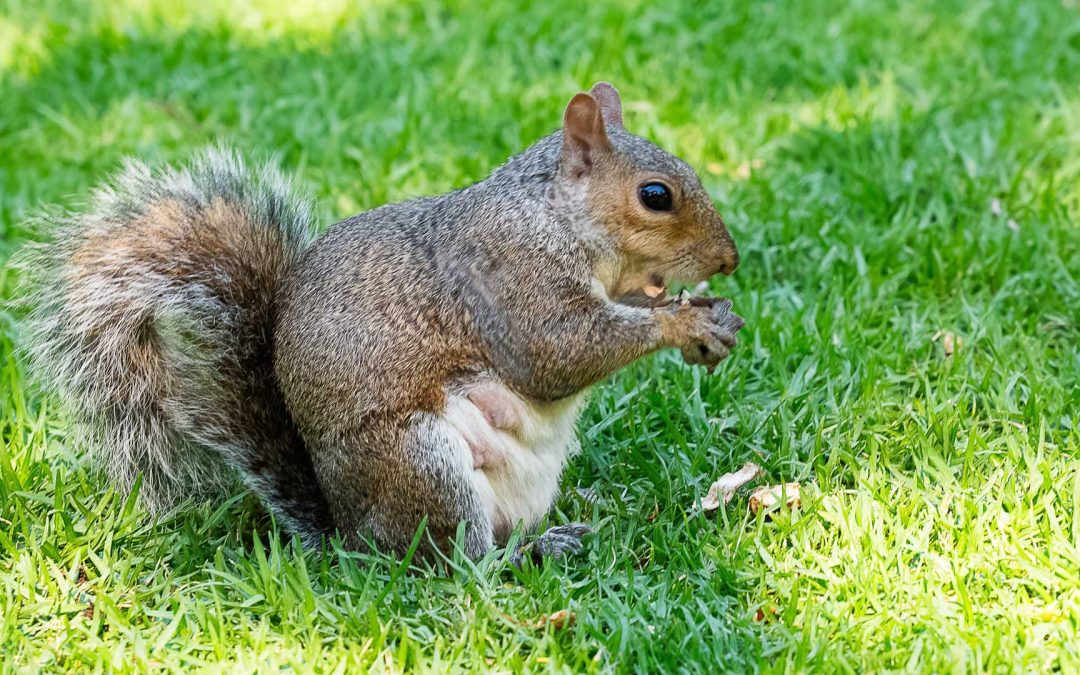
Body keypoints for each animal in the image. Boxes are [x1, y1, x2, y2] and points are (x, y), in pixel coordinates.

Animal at [16, 83, 743, 563]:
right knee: (455, 564)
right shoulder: (509, 279)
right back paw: (528, 554)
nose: (729, 260)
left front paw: (699, 312)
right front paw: (682, 324)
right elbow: (556, 354)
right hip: (421, 463)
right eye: (655, 196)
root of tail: (350, 534)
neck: (553, 216)